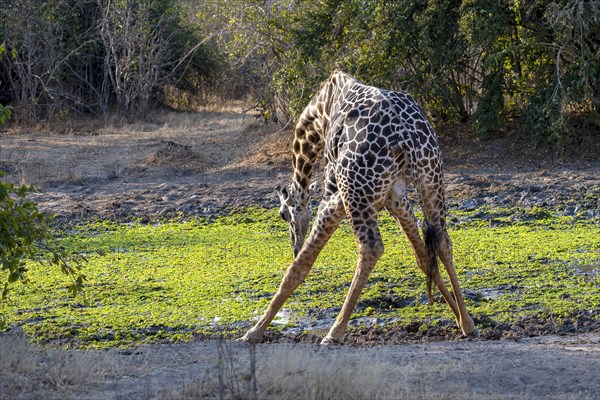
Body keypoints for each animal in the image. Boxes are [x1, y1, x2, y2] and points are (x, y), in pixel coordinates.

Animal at [239, 69, 478, 344]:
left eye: (281, 215)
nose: (293, 246)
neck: (318, 115)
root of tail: (407, 137)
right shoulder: (395, 197)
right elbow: (422, 256)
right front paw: (459, 317)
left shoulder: (335, 191)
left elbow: (299, 266)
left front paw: (253, 332)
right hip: (431, 178)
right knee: (442, 241)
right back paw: (468, 324)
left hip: (355, 190)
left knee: (371, 247)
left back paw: (335, 332)